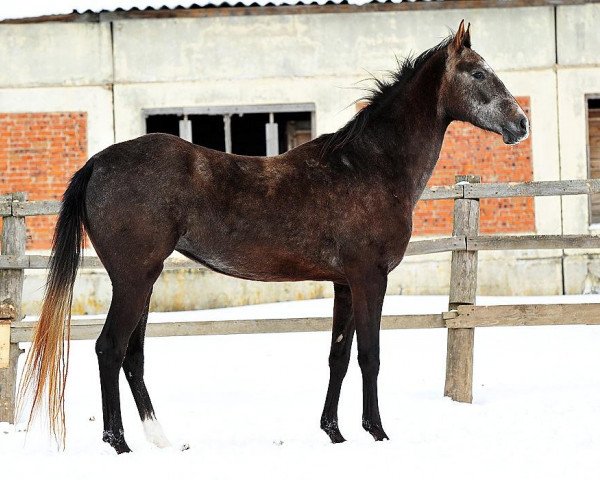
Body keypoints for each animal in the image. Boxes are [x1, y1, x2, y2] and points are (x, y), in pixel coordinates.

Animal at [18, 19, 528, 454]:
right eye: (478, 72)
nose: (520, 124)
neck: (368, 166)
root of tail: (96, 164)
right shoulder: (370, 278)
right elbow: (370, 355)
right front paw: (378, 433)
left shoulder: (344, 283)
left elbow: (338, 356)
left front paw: (334, 433)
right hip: (133, 278)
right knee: (110, 349)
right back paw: (119, 444)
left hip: (142, 280)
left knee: (132, 356)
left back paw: (160, 440)